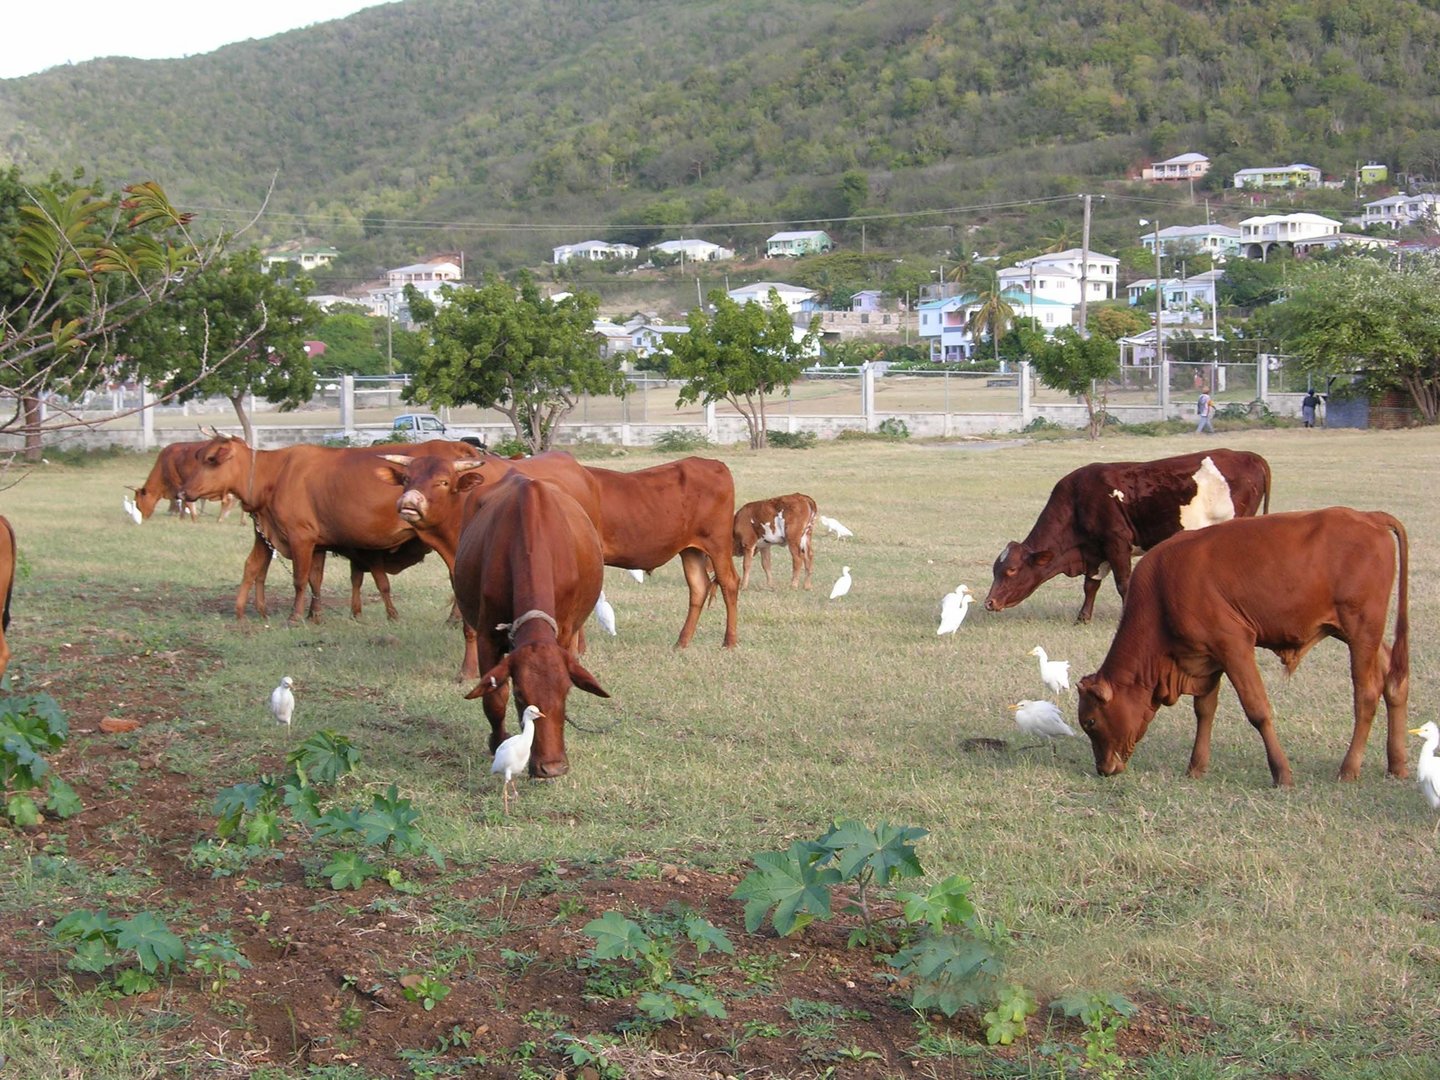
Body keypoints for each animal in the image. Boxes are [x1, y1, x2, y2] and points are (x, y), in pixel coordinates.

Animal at [174, 434, 478, 622]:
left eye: (211, 460)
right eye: (199, 456)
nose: (183, 491)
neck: (277, 473)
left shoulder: (300, 537)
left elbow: (299, 580)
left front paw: (295, 617)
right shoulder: (315, 543)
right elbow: (314, 579)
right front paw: (314, 615)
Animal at [371, 449, 743, 676]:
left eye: (443, 481)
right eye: (407, 479)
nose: (408, 503)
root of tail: (712, 463)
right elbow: (469, 624)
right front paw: (466, 670)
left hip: (717, 546)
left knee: (728, 584)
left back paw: (729, 642)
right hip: (691, 551)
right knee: (698, 589)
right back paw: (682, 642)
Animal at [449, 472, 607, 777]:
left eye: (567, 690)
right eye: (520, 694)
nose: (552, 767)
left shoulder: (564, 632)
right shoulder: (487, 637)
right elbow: (495, 698)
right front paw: (497, 743)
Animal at [979, 449, 1272, 622]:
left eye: (1012, 570)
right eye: (995, 570)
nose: (989, 602)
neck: (1078, 498)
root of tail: (1248, 455)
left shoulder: (1117, 543)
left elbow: (1124, 584)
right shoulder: (1095, 552)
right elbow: (1091, 585)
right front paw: (1083, 618)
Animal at [1082, 506, 1405, 789]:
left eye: (1090, 722)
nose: (1103, 768)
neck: (1162, 591)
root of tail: (1369, 517)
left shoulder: (1233, 645)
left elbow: (1257, 710)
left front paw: (1282, 774)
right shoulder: (1206, 656)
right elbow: (1204, 710)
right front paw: (1196, 767)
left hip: (1361, 632)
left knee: (1366, 695)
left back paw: (1349, 768)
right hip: (1361, 635)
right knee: (1394, 682)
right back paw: (1397, 764)